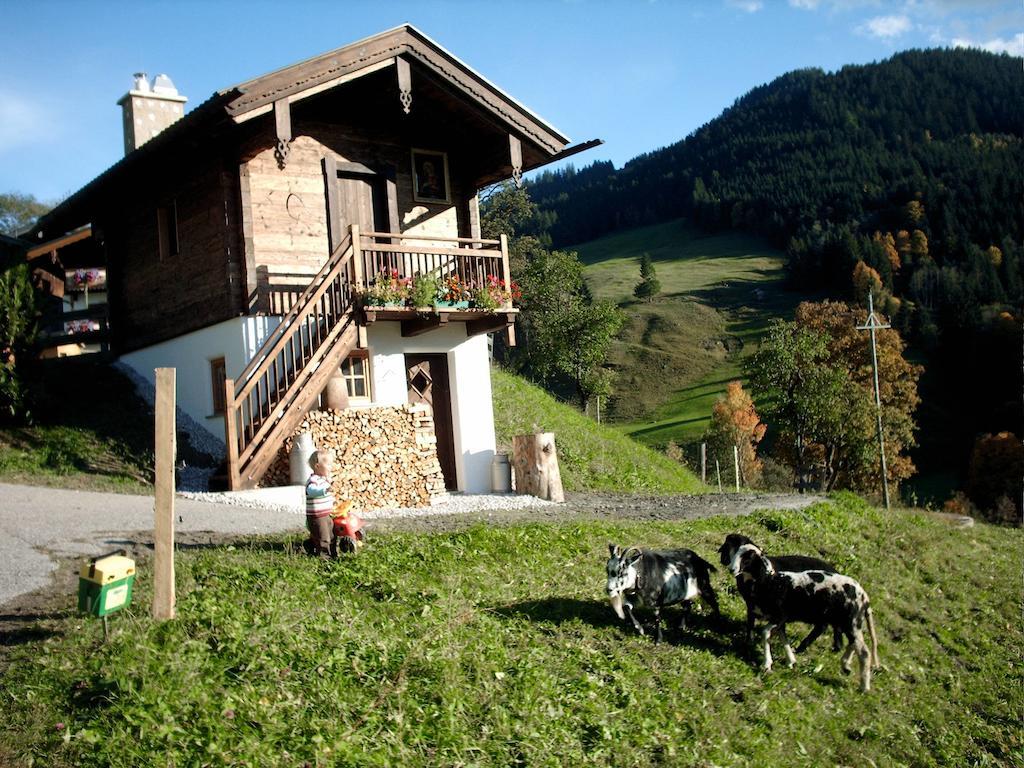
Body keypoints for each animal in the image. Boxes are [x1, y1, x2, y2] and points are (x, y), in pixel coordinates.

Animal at [729, 544, 880, 696]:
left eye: (748, 558)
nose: (731, 569)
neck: (770, 583)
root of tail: (865, 597)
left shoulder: (780, 616)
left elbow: (765, 632)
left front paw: (767, 664)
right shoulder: (780, 620)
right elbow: (783, 637)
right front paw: (791, 661)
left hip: (851, 622)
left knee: (863, 652)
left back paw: (864, 687)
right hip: (846, 622)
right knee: (852, 643)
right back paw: (846, 666)